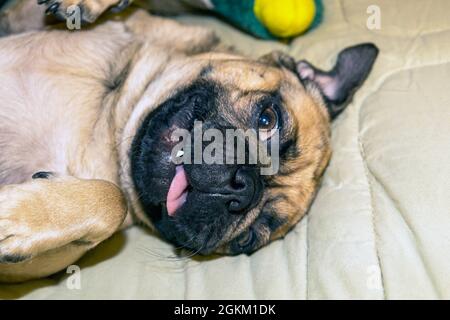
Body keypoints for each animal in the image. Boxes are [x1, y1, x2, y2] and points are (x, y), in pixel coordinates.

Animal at [0, 3, 378, 282]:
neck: (115, 119)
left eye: (249, 237)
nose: (242, 186)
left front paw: (14, 217)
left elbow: (113, 199)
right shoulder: (14, 21)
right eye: (268, 118)